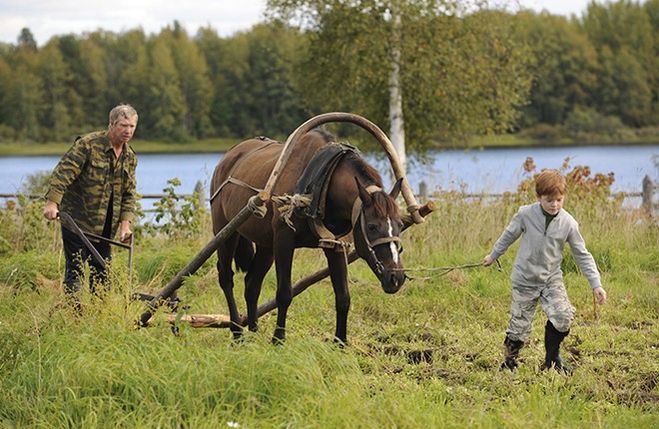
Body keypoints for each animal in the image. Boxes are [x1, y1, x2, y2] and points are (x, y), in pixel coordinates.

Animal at [211, 129, 408, 342]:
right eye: (372, 227)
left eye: (399, 224)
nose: (396, 278)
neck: (321, 184)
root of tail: (228, 156)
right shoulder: (284, 241)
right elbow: (284, 294)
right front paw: (278, 339)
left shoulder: (336, 245)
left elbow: (343, 297)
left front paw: (340, 341)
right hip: (226, 232)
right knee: (226, 278)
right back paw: (237, 332)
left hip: (266, 245)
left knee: (252, 283)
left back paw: (254, 330)